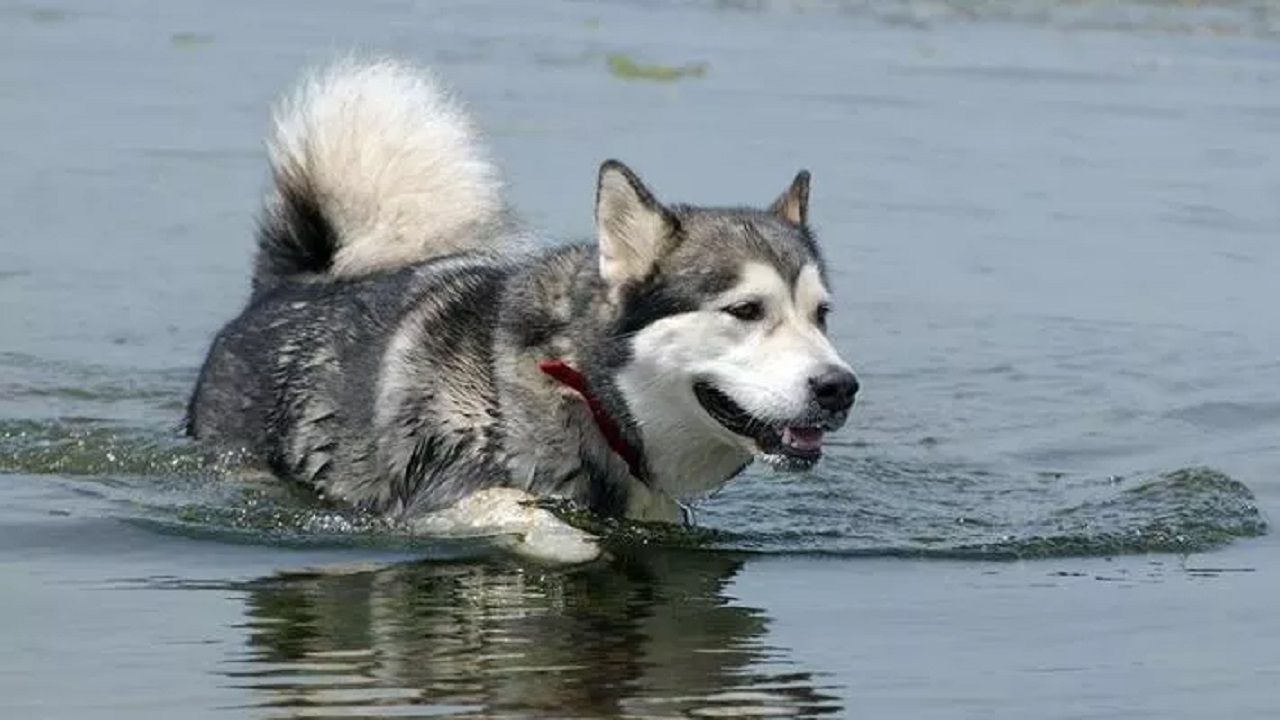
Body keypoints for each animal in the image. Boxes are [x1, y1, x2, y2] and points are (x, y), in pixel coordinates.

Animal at [183, 57, 860, 527]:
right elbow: (536, 522)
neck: (580, 387)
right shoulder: (439, 498)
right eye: (745, 310)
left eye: (821, 315)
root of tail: (293, 281)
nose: (840, 387)